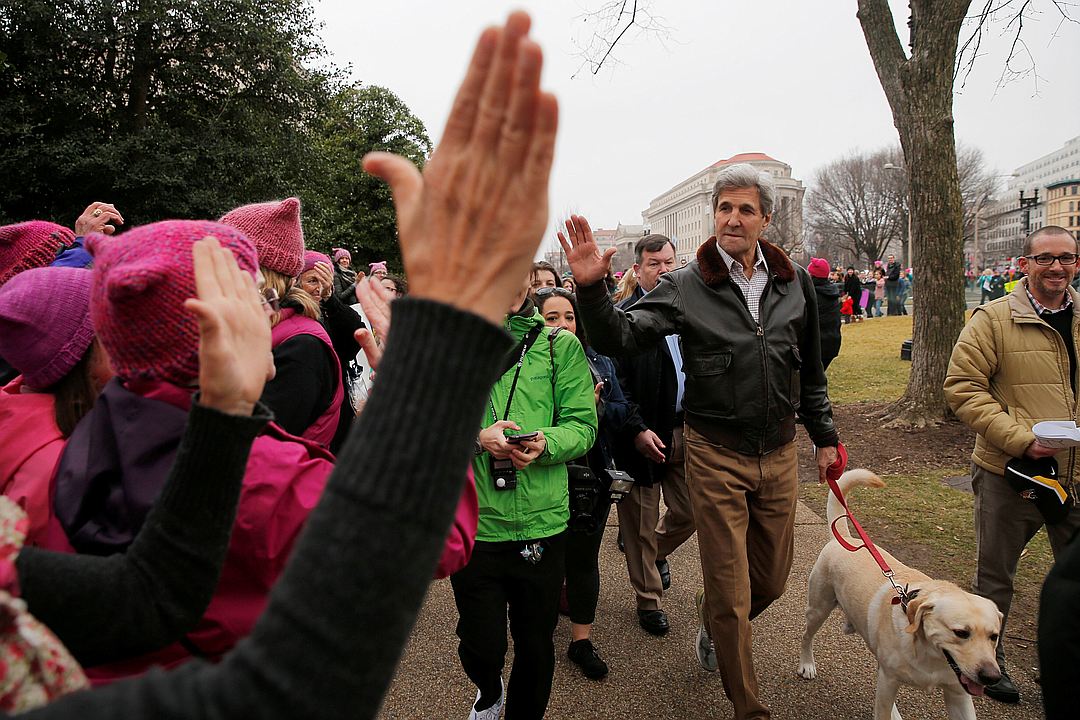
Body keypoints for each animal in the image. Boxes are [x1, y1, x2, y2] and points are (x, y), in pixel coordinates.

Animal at [794, 470, 1002, 716]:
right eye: (961, 632)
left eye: (994, 636)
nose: (992, 677)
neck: (929, 655)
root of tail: (844, 539)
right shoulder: (889, 681)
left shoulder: (958, 693)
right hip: (818, 608)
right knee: (807, 636)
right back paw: (806, 664)